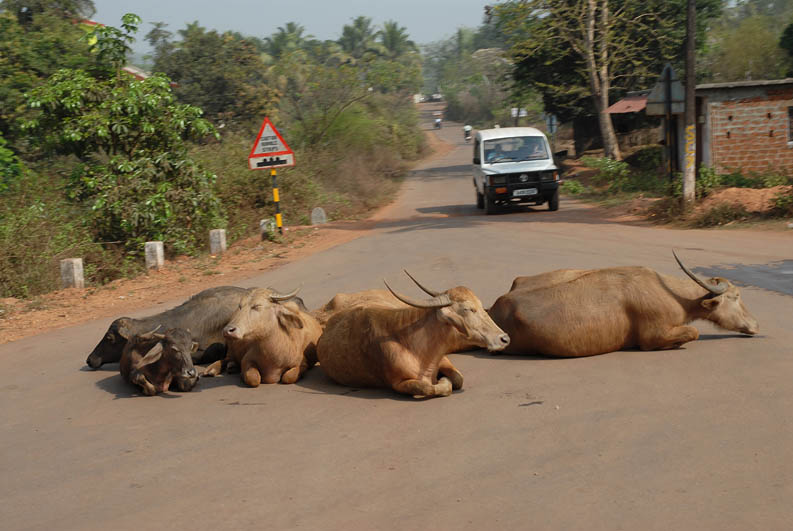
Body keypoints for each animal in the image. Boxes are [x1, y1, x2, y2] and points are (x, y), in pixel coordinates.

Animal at [316, 273, 510, 399]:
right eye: (468, 309)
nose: (504, 338)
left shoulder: (443, 359)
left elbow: (457, 379)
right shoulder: (398, 383)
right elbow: (428, 388)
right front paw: (441, 383)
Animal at [488, 251, 760, 357]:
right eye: (736, 296)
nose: (756, 324)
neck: (671, 294)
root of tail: (495, 308)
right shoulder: (653, 336)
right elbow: (692, 332)